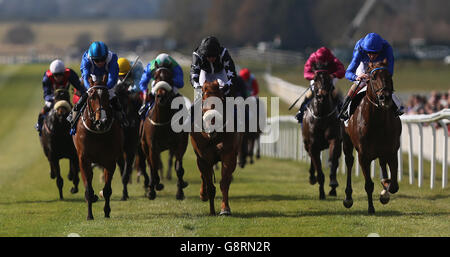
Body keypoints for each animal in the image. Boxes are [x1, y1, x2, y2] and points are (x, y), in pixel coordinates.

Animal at [73, 83, 124, 219]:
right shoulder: (84, 159)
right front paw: (89, 215)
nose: (102, 121)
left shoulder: (110, 160)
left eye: (108, 98)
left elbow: (107, 190)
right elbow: (88, 189)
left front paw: (106, 212)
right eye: (92, 97)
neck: (97, 133)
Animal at [142, 67, 189, 199]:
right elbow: (153, 167)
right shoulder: (152, 146)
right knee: (151, 165)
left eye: (169, 77)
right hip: (145, 146)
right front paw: (153, 190)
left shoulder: (180, 144)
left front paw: (180, 192)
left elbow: (179, 168)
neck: (162, 120)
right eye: (156, 77)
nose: (160, 96)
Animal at [190, 80, 243, 214]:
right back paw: (203, 195)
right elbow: (209, 185)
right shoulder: (204, 158)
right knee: (202, 176)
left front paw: (225, 209)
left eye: (219, 105)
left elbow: (224, 183)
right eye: (204, 108)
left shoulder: (228, 155)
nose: (211, 129)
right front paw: (211, 210)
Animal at [302, 69, 342, 198]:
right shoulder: (313, 145)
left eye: (329, 80)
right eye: (315, 79)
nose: (321, 96)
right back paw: (312, 177)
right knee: (311, 159)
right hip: (307, 144)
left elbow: (332, 161)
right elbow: (318, 168)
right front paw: (321, 193)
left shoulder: (335, 140)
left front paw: (333, 183)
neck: (322, 116)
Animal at [342, 59, 402, 213]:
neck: (377, 122)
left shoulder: (392, 151)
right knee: (349, 161)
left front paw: (384, 192)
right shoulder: (363, 156)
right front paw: (371, 207)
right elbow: (369, 184)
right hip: (346, 142)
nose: (385, 97)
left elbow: (394, 186)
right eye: (373, 77)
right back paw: (348, 198)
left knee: (382, 163)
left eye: (389, 75)